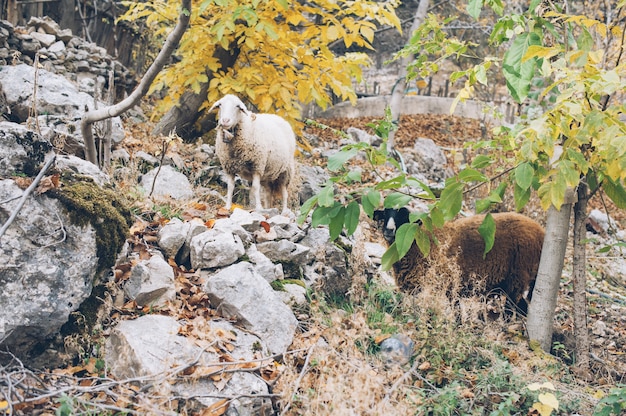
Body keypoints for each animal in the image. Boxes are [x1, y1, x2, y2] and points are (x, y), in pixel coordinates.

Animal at [372, 208, 544, 308]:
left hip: (517, 278)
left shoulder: (447, 283)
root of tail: (541, 232)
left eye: (404, 218)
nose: (388, 230)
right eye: (385, 215)